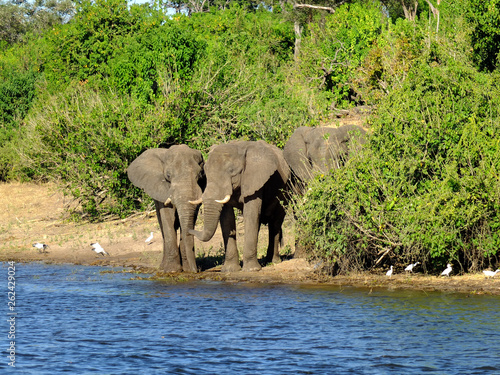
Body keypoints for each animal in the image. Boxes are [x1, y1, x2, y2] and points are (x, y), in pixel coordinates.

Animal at [127, 145, 205, 274]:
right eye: (168, 175)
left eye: (199, 175)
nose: (196, 270)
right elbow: (167, 218)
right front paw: (172, 270)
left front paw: (187, 269)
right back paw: (163, 267)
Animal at [189, 140, 292, 272]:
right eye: (205, 172)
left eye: (232, 172)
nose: (190, 230)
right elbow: (227, 218)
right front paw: (230, 270)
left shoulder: (254, 180)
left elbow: (251, 214)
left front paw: (252, 270)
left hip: (286, 190)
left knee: (275, 222)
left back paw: (272, 261)